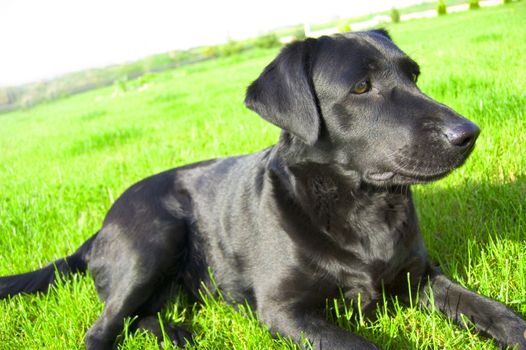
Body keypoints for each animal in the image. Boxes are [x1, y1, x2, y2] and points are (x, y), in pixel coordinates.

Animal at [1, 30, 526, 350]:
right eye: (361, 87)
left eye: (414, 75)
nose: (468, 133)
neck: (359, 206)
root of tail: (100, 228)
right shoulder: (283, 311)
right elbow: (361, 342)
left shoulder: (420, 277)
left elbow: (489, 309)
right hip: (153, 238)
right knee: (101, 329)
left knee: (139, 317)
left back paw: (176, 334)